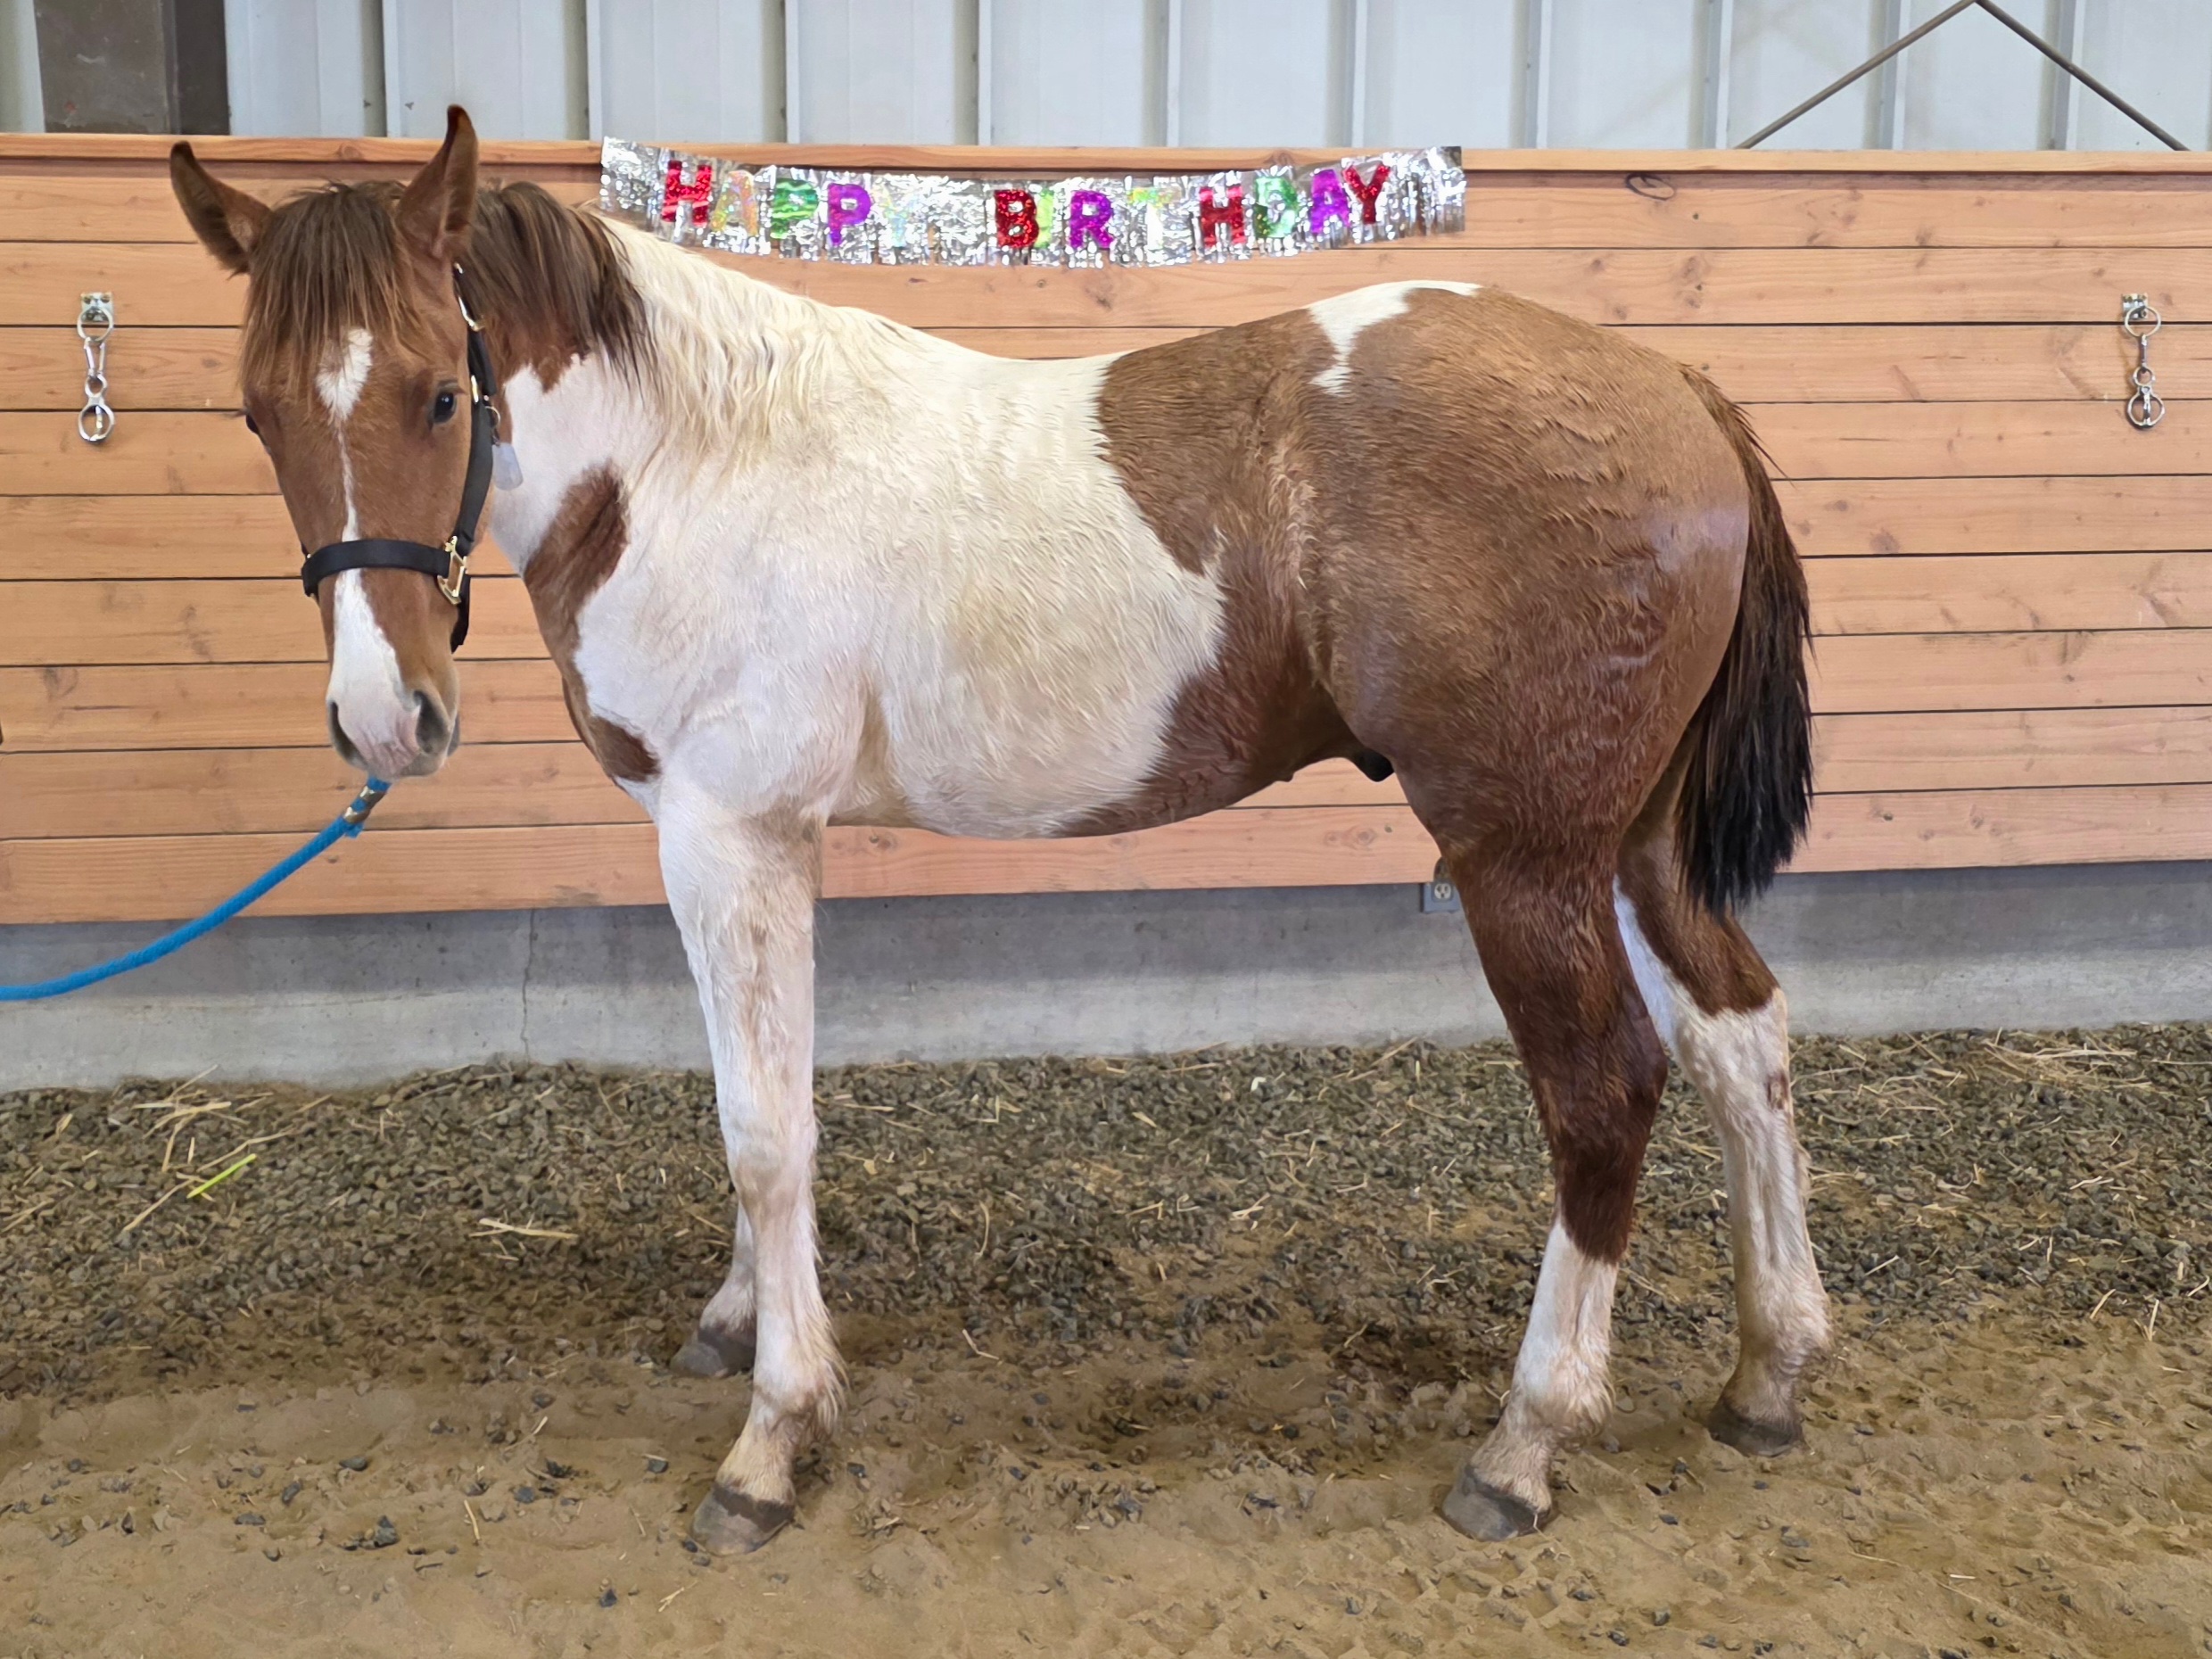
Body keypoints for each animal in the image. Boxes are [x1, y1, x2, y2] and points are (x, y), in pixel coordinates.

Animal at [170, 107, 1830, 1554]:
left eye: (439, 395)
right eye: (255, 411)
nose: (386, 720)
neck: (693, 463)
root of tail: (1677, 391)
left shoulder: (728, 834)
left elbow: (762, 1132)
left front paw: (774, 1440)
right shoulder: (750, 845)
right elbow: (761, 1101)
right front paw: (738, 1323)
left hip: (1521, 858)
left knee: (1604, 1093)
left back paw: (1525, 1446)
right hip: (1629, 849)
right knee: (1740, 1030)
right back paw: (1767, 1371)